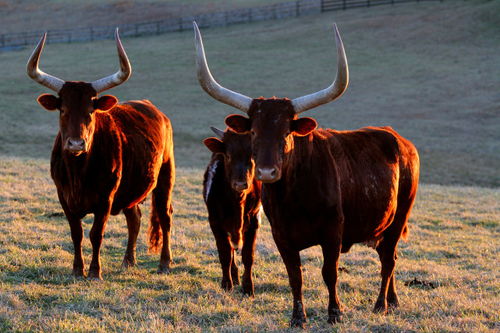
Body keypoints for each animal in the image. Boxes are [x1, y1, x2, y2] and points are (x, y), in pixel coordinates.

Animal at [27, 28, 176, 278]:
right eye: (63, 110)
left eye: (91, 111)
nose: (76, 144)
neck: (78, 172)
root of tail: (154, 109)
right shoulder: (63, 197)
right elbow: (76, 234)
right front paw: (77, 270)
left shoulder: (105, 199)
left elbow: (96, 234)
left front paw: (95, 272)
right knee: (134, 219)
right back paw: (128, 261)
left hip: (166, 176)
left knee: (165, 217)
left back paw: (164, 262)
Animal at [202, 127, 262, 296]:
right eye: (228, 156)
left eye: (253, 156)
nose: (240, 184)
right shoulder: (215, 222)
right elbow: (225, 254)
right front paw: (226, 283)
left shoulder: (254, 222)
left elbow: (248, 255)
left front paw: (248, 288)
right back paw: (233, 277)